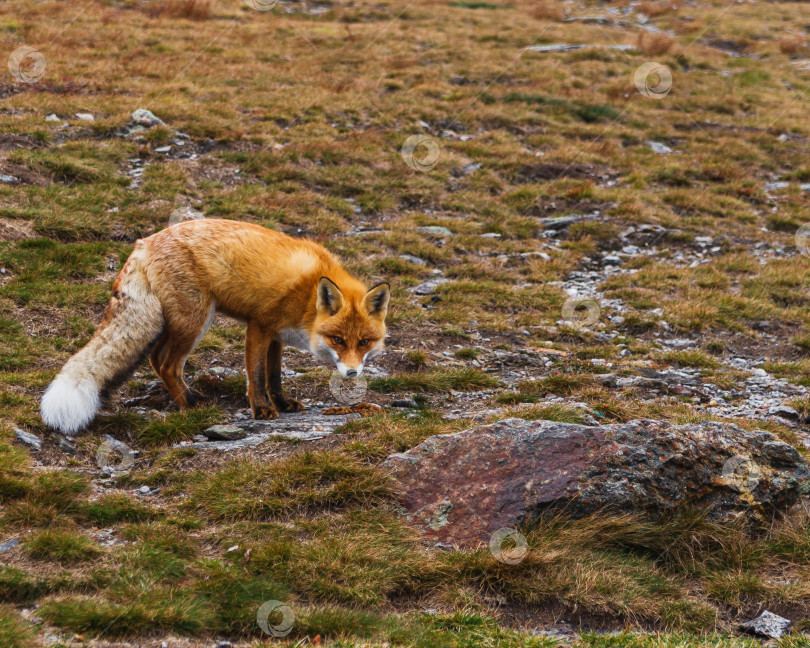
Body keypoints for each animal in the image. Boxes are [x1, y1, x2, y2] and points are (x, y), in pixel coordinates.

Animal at [40, 218, 388, 436]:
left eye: (365, 342)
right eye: (338, 339)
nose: (352, 373)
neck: (307, 296)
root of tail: (144, 243)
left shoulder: (277, 336)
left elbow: (274, 376)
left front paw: (282, 403)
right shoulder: (259, 327)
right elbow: (257, 376)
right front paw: (262, 410)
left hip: (176, 323)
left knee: (155, 358)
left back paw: (185, 396)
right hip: (196, 320)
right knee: (168, 365)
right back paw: (191, 407)